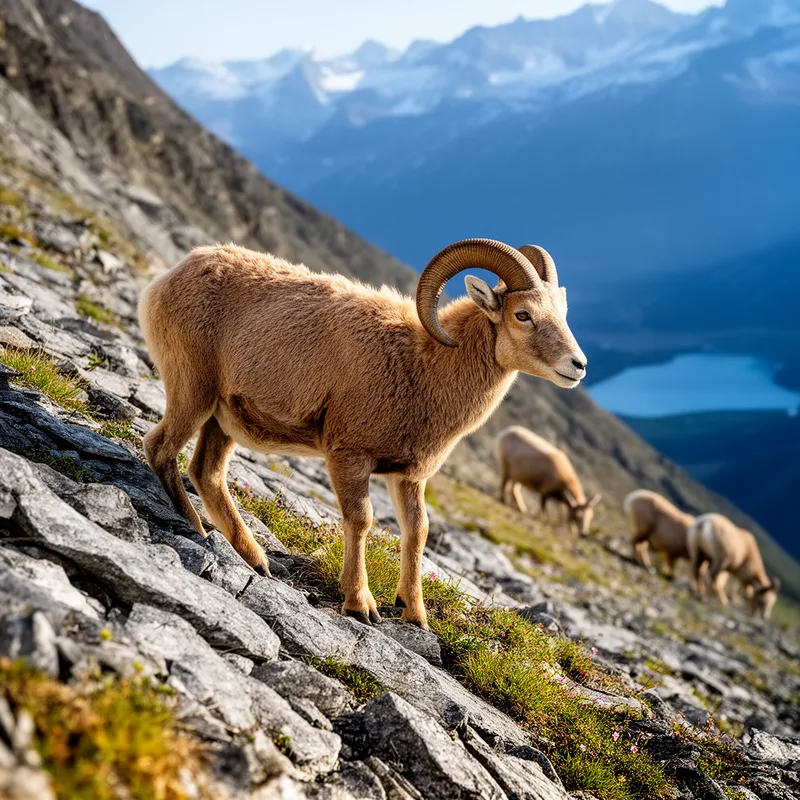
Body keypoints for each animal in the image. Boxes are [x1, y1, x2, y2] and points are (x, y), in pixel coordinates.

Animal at [138, 239, 587, 629]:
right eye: (522, 314)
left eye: (563, 312)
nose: (578, 365)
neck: (422, 366)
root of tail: (169, 277)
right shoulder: (350, 456)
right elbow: (361, 519)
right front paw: (360, 604)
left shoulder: (408, 477)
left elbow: (417, 532)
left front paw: (414, 613)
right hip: (193, 393)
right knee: (159, 448)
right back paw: (195, 528)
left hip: (223, 419)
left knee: (207, 473)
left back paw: (256, 559)